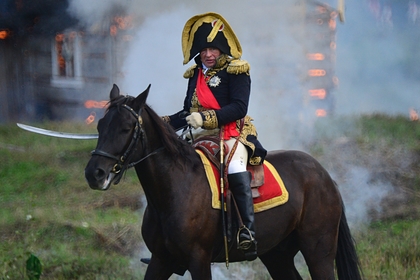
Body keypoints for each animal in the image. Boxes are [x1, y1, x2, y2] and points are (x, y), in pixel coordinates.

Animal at [84, 85, 360, 280]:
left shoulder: (199, 260)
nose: (94, 173)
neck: (173, 191)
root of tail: (325, 175)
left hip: (318, 251)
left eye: (126, 127)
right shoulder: (160, 261)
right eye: (100, 125)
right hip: (277, 255)